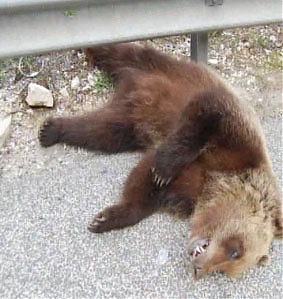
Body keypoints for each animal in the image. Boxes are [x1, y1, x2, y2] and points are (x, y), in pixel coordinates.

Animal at [38, 43, 282, 280]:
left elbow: (146, 190)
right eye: (235, 250)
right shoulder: (235, 144)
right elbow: (208, 112)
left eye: (223, 270)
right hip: (160, 67)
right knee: (119, 52)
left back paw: (52, 131)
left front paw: (104, 219)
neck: (216, 182)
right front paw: (163, 169)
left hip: (129, 120)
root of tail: (130, 84)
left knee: (101, 131)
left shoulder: (190, 190)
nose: (199, 269)